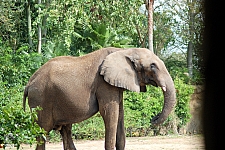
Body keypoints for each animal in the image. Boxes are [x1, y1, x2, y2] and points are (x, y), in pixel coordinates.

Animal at [23, 46, 177, 149]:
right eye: (153, 66)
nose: (154, 118)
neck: (125, 50)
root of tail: (29, 83)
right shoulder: (104, 84)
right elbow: (110, 113)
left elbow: (120, 114)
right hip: (40, 100)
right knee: (42, 132)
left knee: (66, 130)